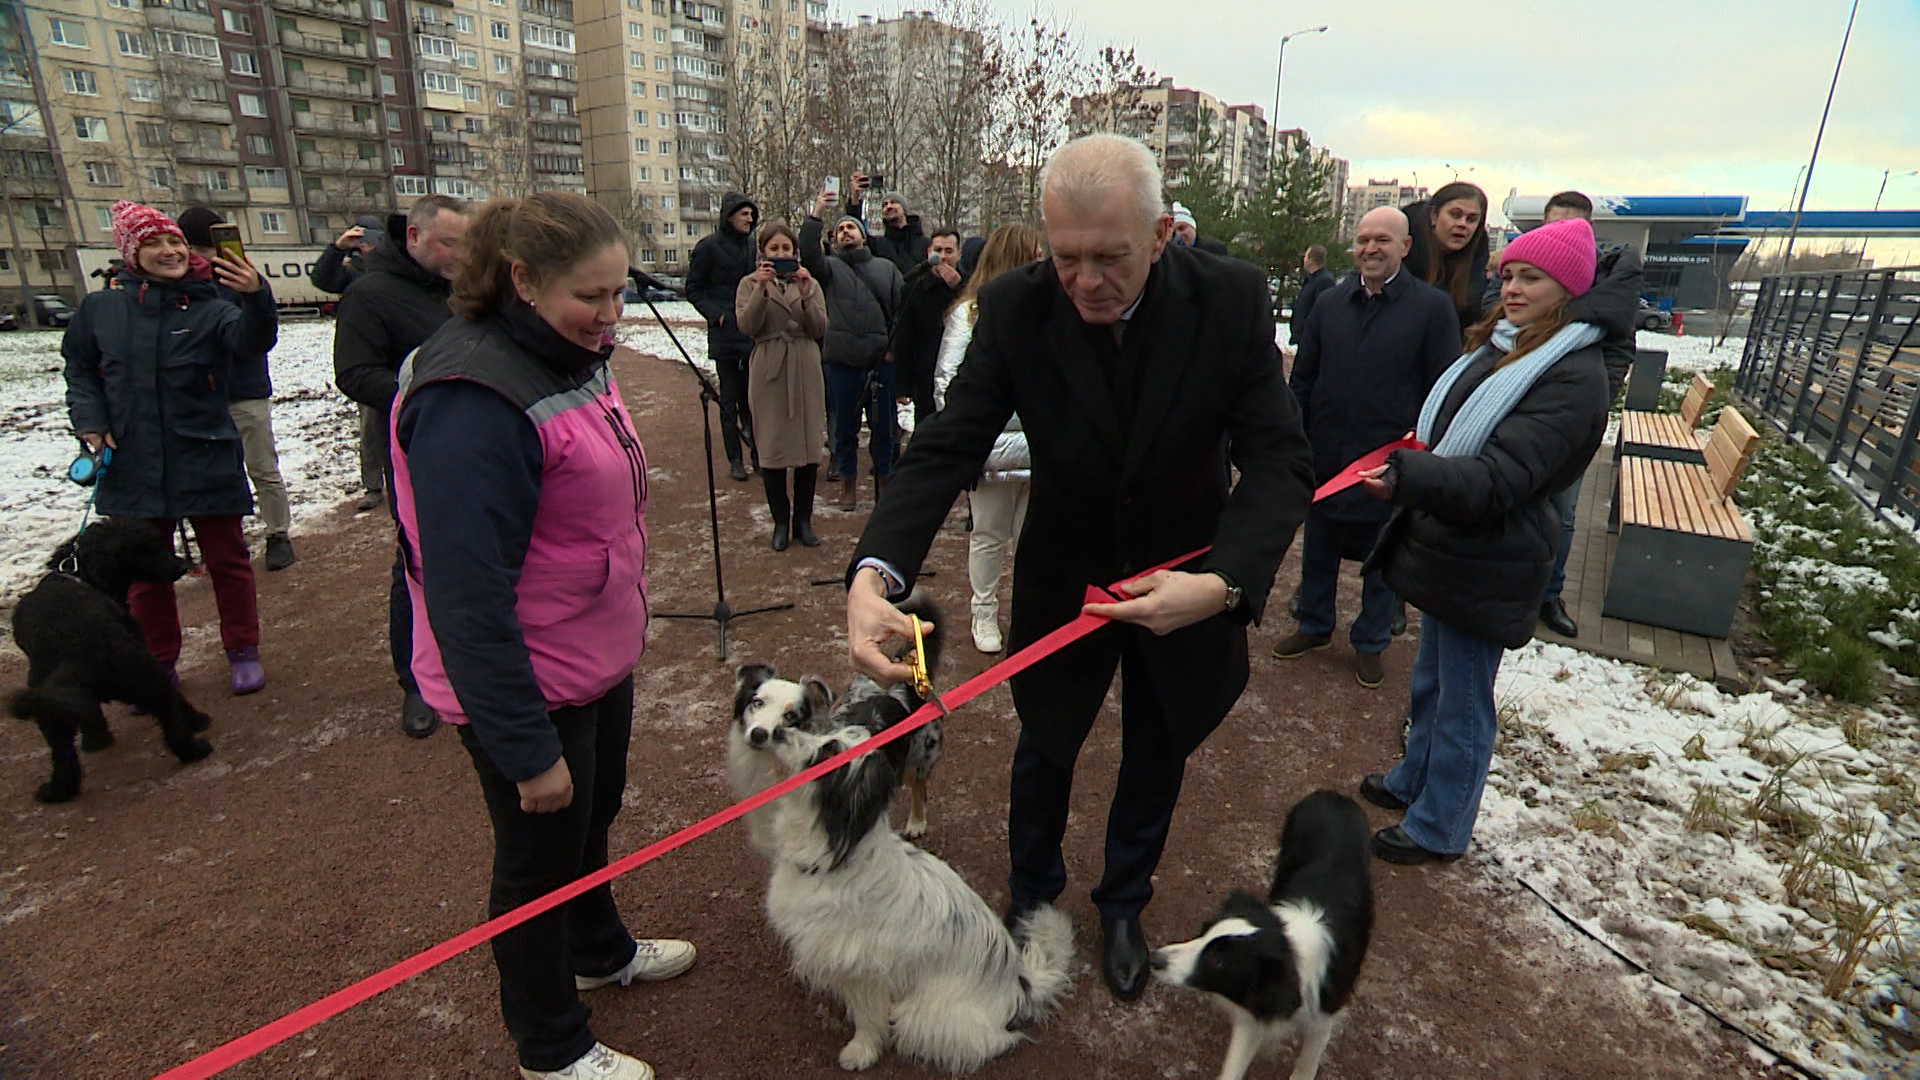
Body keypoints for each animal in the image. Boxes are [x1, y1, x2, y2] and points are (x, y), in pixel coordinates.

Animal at [756, 718, 1075, 1068]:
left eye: (828, 752)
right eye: (826, 733)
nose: (777, 731)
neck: (836, 851)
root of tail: (1019, 986)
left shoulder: (866, 974)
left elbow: (867, 1018)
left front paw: (861, 1051)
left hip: (919, 1015)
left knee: (996, 1040)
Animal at [1144, 780, 1374, 1076]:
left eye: (1218, 961)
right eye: (1203, 930)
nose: (1155, 958)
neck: (1291, 948)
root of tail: (1334, 795)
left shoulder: (1324, 1011)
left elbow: (1309, 1057)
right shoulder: (1253, 1015)